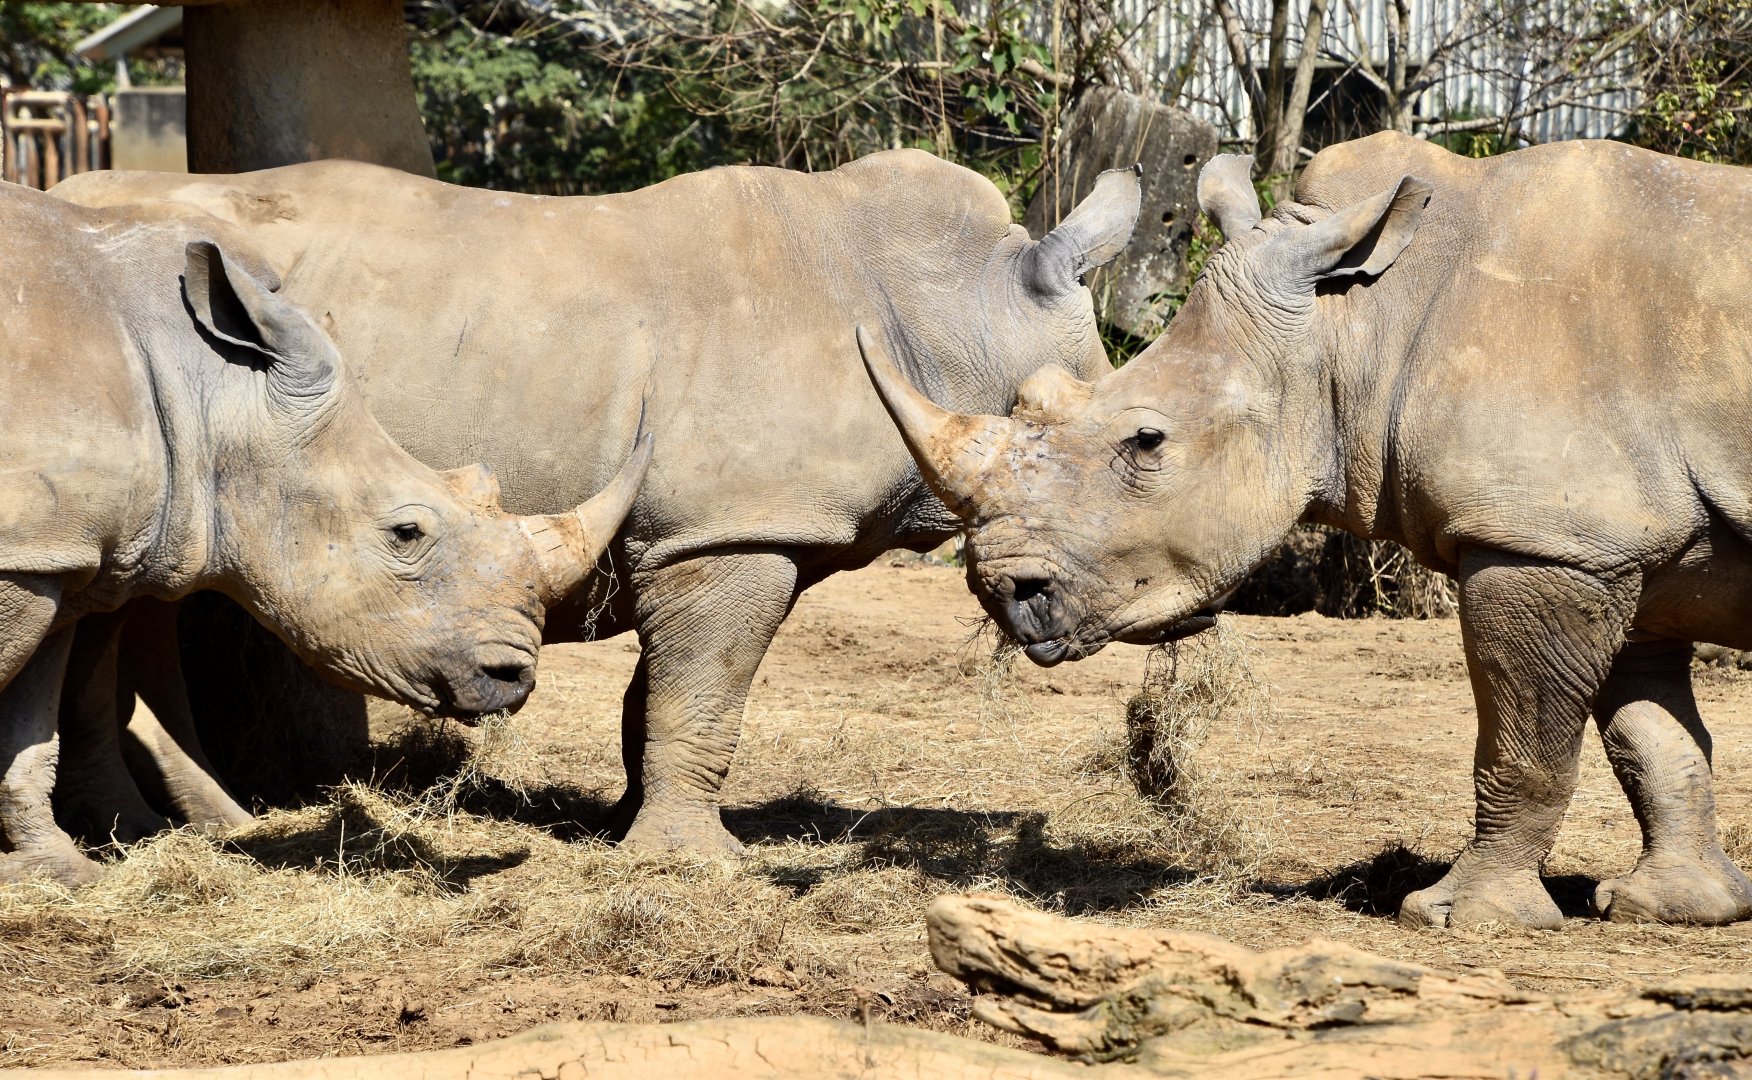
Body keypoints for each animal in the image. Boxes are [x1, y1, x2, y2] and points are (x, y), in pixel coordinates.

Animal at [0, 182, 649, 883]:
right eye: (406, 532)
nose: (513, 678)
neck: (211, 389)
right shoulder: (28, 552)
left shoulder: (55, 551)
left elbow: (31, 724)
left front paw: (58, 874)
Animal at [52, 150, 1142, 852]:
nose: (1041, 607)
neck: (970, 309)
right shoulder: (731, 531)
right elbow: (706, 690)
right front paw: (692, 865)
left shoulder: (708, 528)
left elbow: (662, 694)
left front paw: (623, 830)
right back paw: (184, 827)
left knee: (141, 592)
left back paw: (197, 823)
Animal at [861, 132, 1752, 929]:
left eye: (1147, 441)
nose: (1007, 595)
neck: (1356, 323)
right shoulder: (1614, 543)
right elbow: (1653, 738)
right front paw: (1674, 909)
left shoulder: (1544, 540)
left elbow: (1525, 741)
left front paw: (1456, 918)